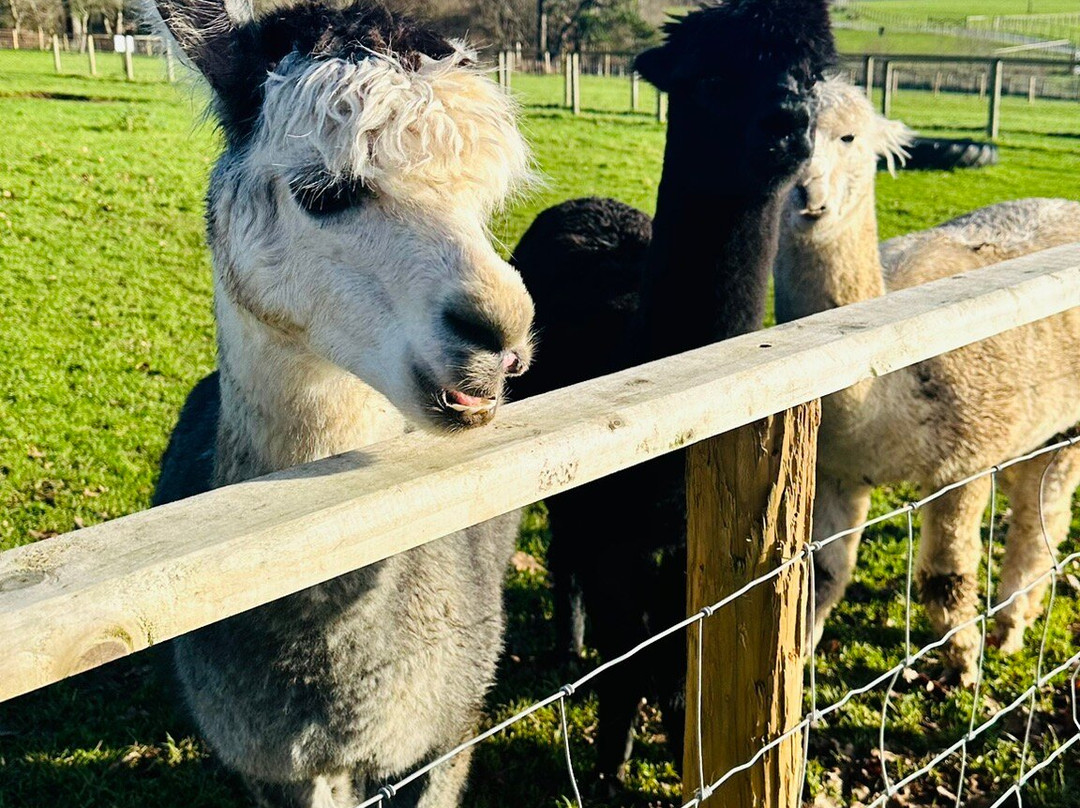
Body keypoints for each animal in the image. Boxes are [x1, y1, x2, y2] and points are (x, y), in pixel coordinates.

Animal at [773, 75, 1080, 682]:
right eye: (779, 135)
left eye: (848, 137)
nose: (806, 194)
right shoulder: (839, 470)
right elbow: (822, 577)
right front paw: (799, 678)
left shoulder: (965, 461)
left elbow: (946, 576)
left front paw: (963, 665)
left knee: (1043, 515)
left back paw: (1011, 624)